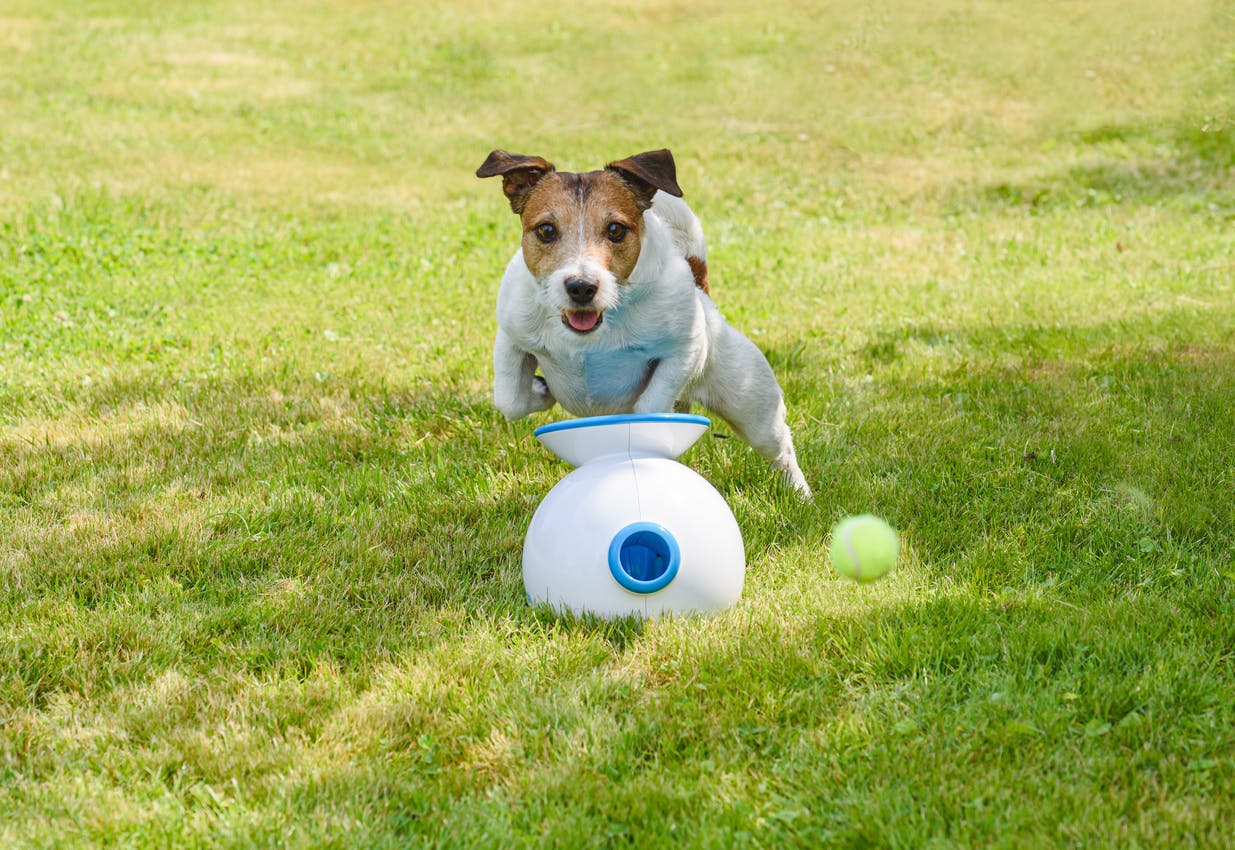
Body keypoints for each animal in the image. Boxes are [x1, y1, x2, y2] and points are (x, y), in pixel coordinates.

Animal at [474, 147, 810, 499]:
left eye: (615, 230)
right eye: (546, 230)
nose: (581, 287)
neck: (592, 336)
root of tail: (702, 291)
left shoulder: (686, 348)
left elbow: (651, 402)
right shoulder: (511, 338)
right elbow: (510, 400)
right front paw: (540, 389)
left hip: (752, 405)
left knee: (781, 450)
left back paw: (801, 496)